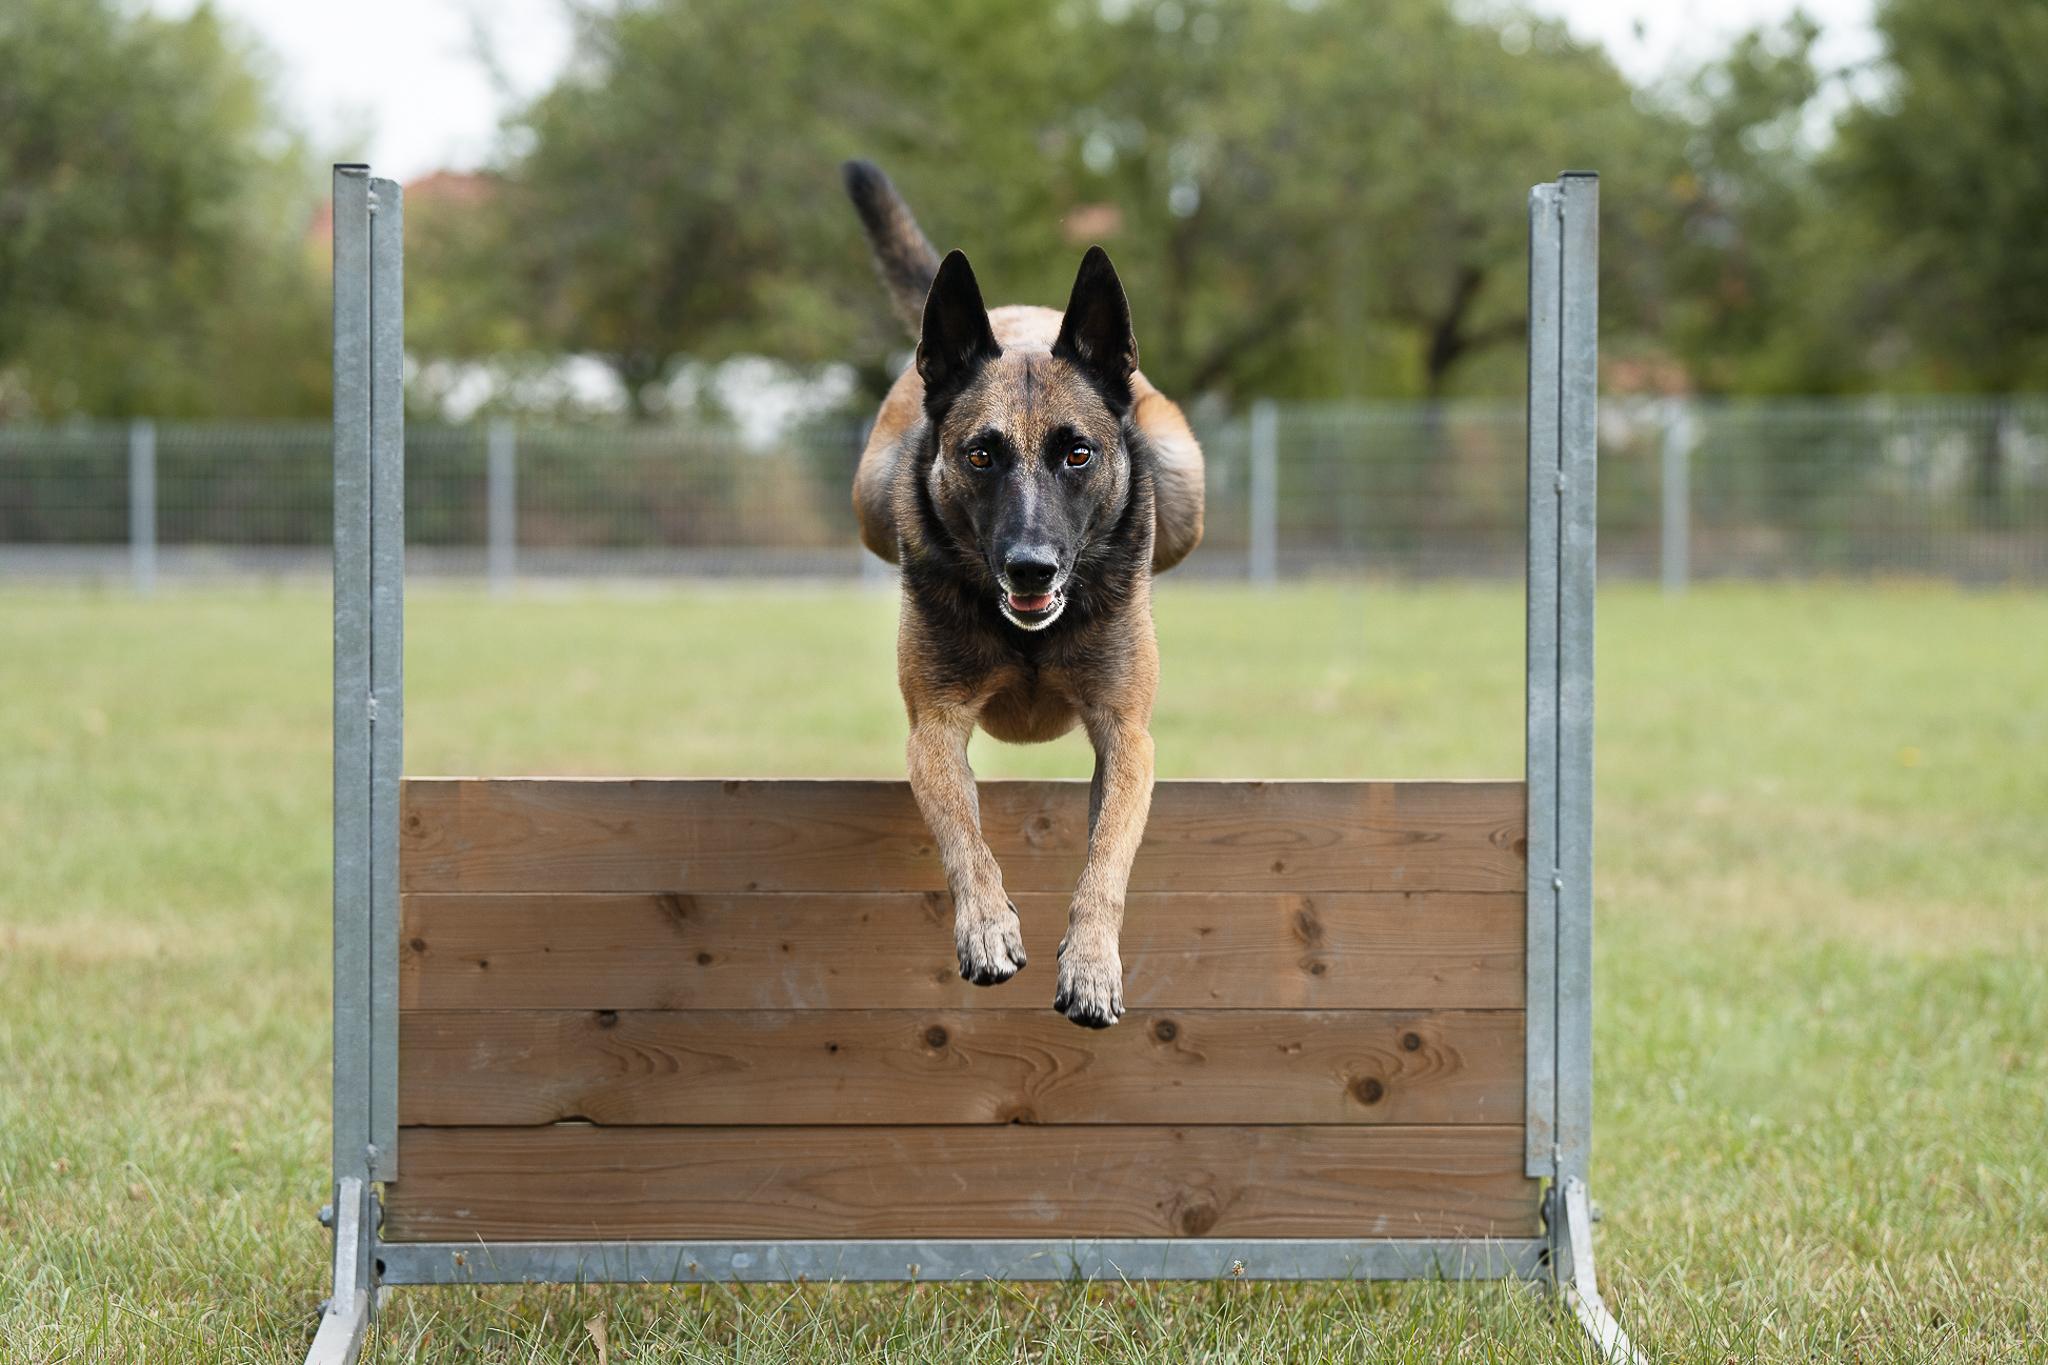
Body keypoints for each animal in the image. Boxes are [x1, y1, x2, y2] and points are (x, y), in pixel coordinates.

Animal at [839, 160, 1204, 1031]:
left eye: (1077, 454)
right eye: (981, 454)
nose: (1031, 568)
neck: (1032, 637)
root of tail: (1018, 315)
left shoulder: (1126, 735)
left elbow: (1108, 854)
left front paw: (1094, 962)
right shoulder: (934, 726)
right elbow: (960, 830)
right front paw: (986, 925)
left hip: (1184, 481)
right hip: (870, 498)